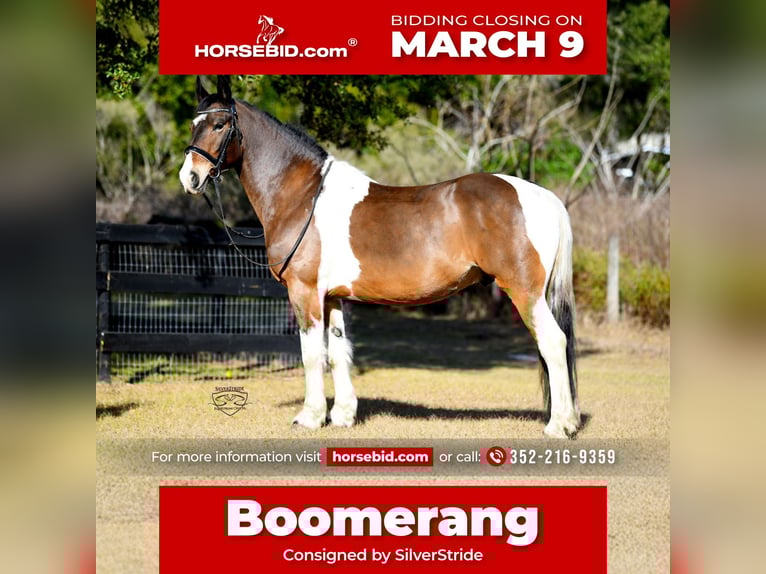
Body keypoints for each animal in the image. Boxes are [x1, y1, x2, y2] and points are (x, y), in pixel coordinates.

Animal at [179, 76, 581, 438]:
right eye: (194, 124)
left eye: (219, 124)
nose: (190, 178)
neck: (304, 196)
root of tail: (542, 195)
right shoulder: (333, 297)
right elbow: (339, 350)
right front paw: (342, 416)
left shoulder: (305, 292)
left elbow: (312, 353)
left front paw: (310, 417)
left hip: (524, 292)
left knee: (553, 344)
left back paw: (559, 425)